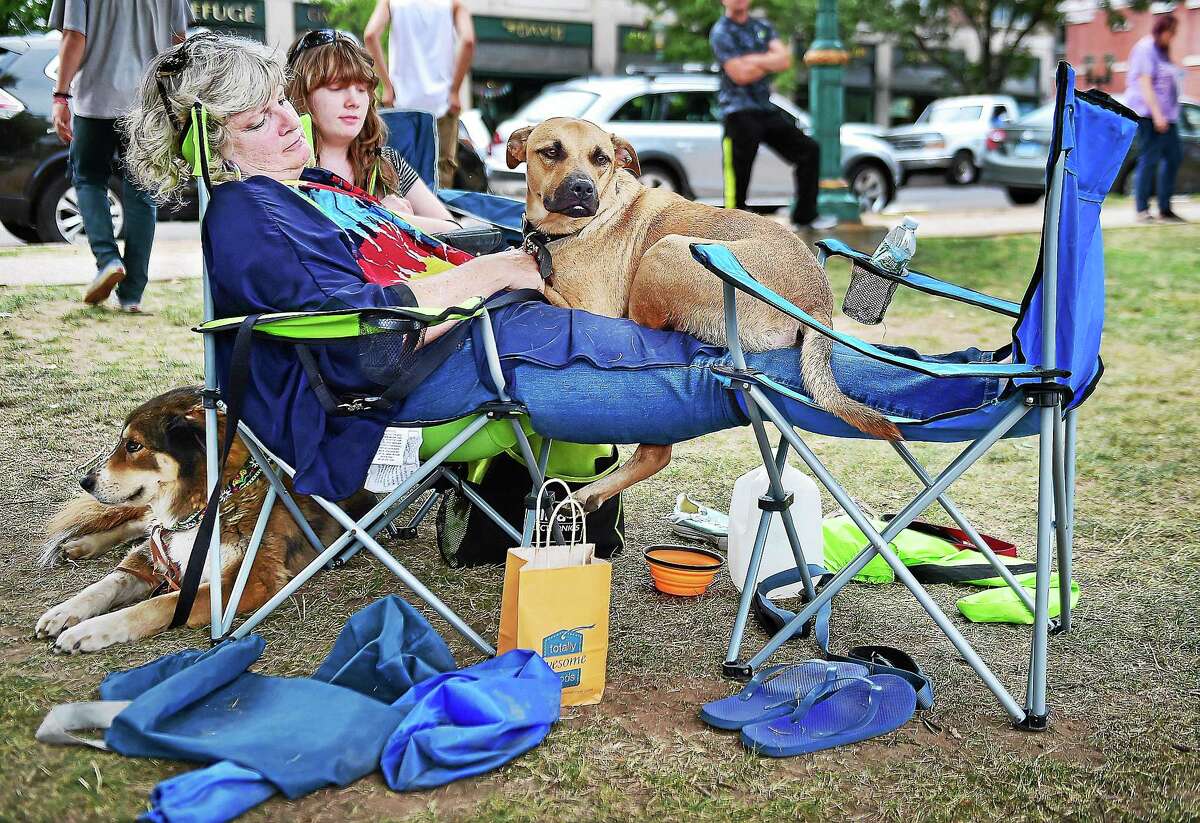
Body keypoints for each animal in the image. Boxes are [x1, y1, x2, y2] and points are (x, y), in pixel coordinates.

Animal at [34, 388, 369, 657]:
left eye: (134, 446)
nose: (84, 481)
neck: (216, 501)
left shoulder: (248, 583)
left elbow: (159, 603)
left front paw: (88, 631)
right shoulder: (161, 552)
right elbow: (109, 582)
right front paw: (64, 612)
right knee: (139, 523)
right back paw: (81, 545)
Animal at [508, 119, 902, 513]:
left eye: (600, 158)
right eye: (552, 151)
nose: (582, 188)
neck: (567, 230)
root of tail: (818, 302)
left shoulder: (593, 309)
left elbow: (541, 281)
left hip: (663, 251)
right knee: (656, 452)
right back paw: (594, 492)